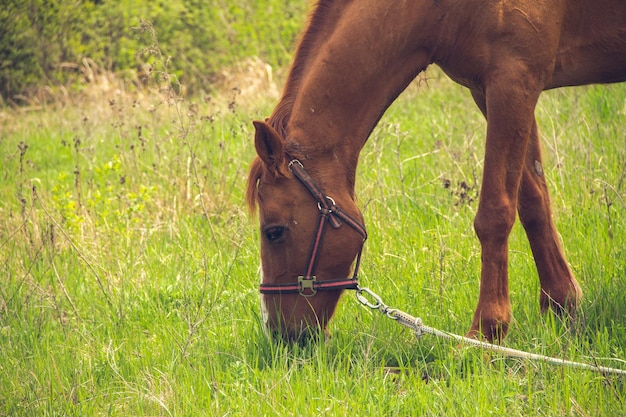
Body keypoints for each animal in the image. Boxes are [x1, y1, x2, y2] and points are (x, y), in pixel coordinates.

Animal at [245, 0, 624, 342]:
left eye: (274, 232)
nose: (278, 333)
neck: (443, 9)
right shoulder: (494, 90)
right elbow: (532, 200)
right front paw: (562, 306)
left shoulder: (514, 80)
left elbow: (495, 213)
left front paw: (487, 332)